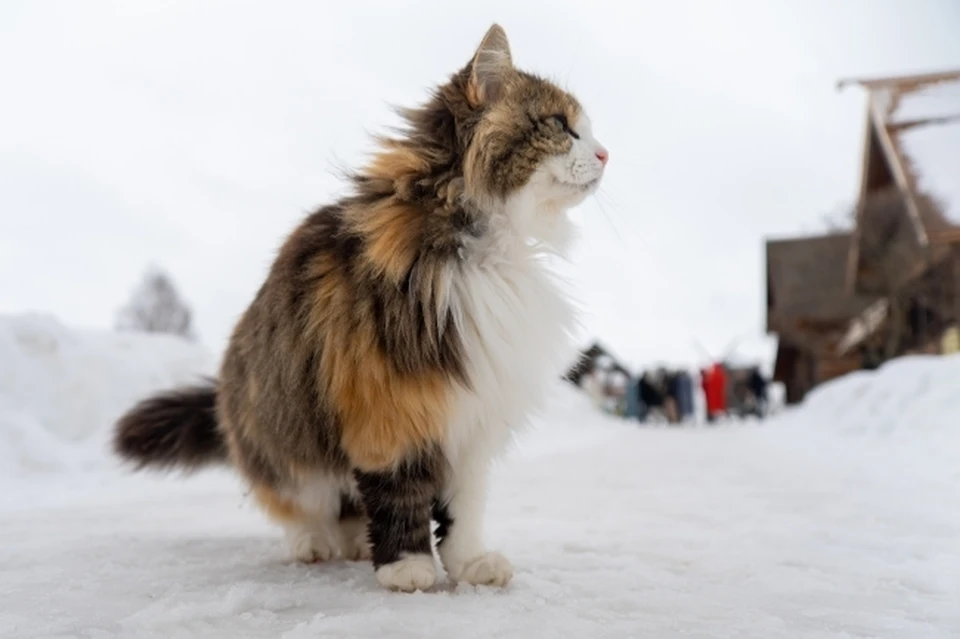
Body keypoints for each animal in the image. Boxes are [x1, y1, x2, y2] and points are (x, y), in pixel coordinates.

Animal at [112, 25, 608, 596]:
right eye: (560, 126)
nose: (605, 154)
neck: (485, 245)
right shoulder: (387, 408)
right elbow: (400, 494)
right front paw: (407, 568)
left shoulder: (472, 418)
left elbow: (465, 507)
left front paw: (470, 564)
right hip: (285, 443)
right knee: (300, 504)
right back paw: (314, 545)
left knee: (349, 506)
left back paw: (353, 545)